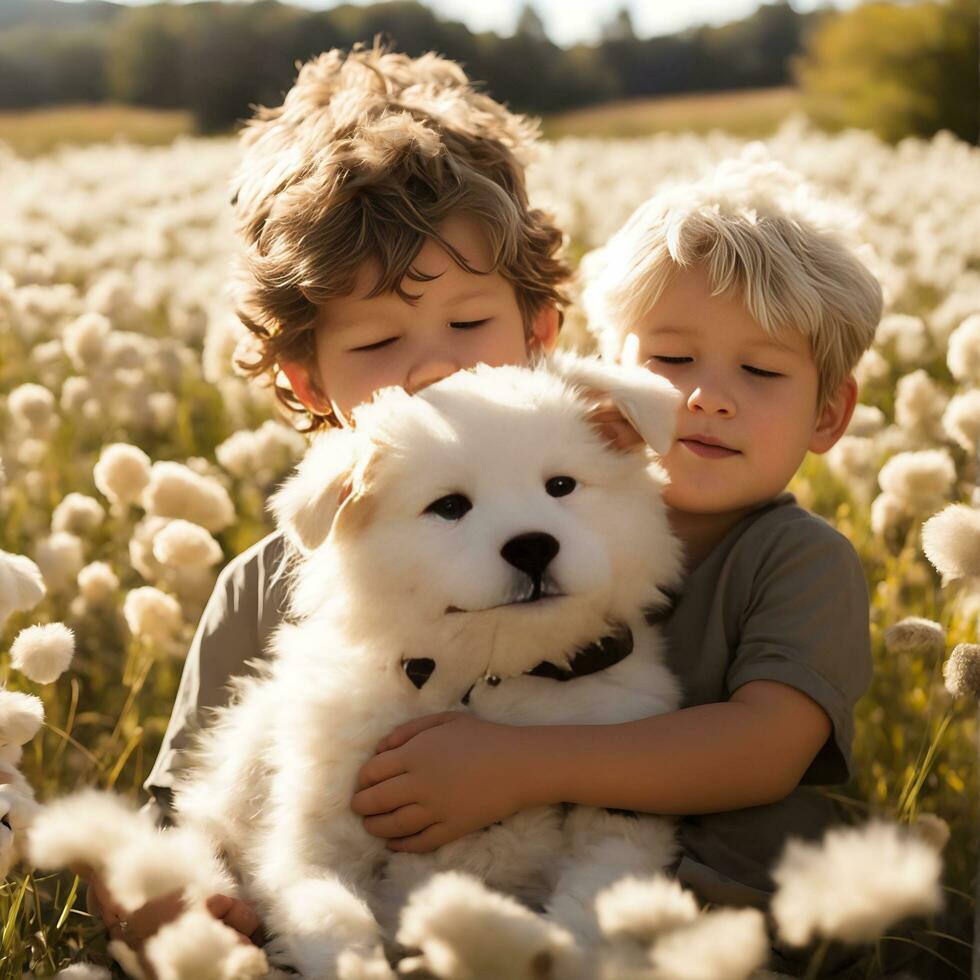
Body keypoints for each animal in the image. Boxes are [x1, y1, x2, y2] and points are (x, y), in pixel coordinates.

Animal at [174, 354, 680, 980]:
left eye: (561, 486)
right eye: (450, 507)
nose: (533, 547)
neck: (483, 677)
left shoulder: (621, 827)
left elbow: (585, 917)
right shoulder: (310, 844)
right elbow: (337, 923)